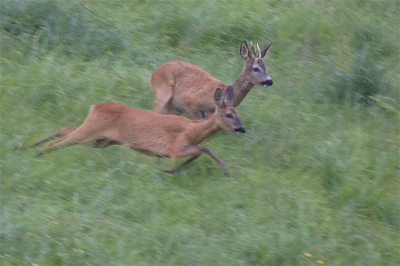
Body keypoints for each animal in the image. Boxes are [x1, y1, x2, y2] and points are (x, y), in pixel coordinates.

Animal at [24, 87, 247, 174]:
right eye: (229, 114)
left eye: (238, 113)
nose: (241, 129)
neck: (194, 130)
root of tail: (94, 106)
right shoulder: (174, 148)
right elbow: (202, 150)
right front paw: (171, 170)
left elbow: (203, 149)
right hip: (90, 132)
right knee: (61, 141)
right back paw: (37, 152)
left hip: (99, 140)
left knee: (65, 129)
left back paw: (25, 147)